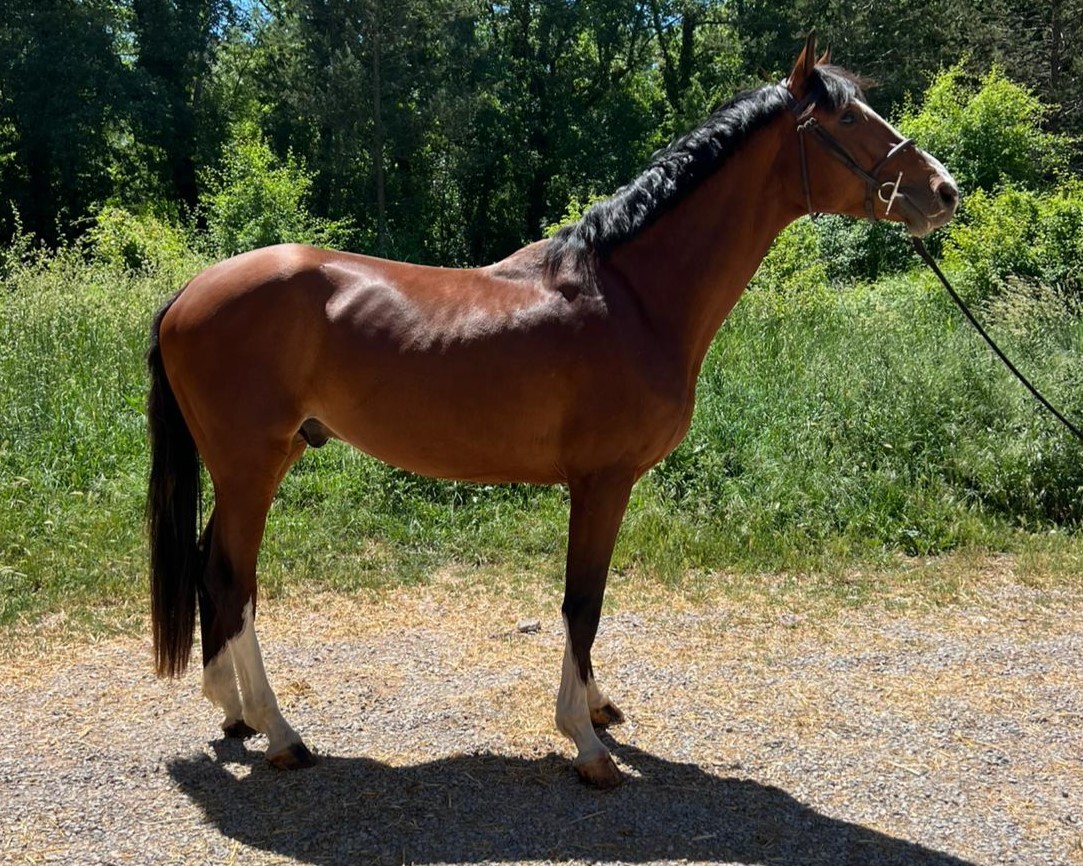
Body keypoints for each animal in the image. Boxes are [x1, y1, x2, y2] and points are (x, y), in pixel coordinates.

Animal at [146, 34, 958, 789]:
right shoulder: (602, 482)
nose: (943, 190)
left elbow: (588, 606)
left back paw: (236, 713)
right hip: (251, 465)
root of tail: (189, 293)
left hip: (265, 459)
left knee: (213, 571)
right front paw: (586, 742)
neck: (631, 298)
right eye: (847, 117)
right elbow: (582, 603)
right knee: (232, 580)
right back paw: (281, 732)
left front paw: (597, 708)